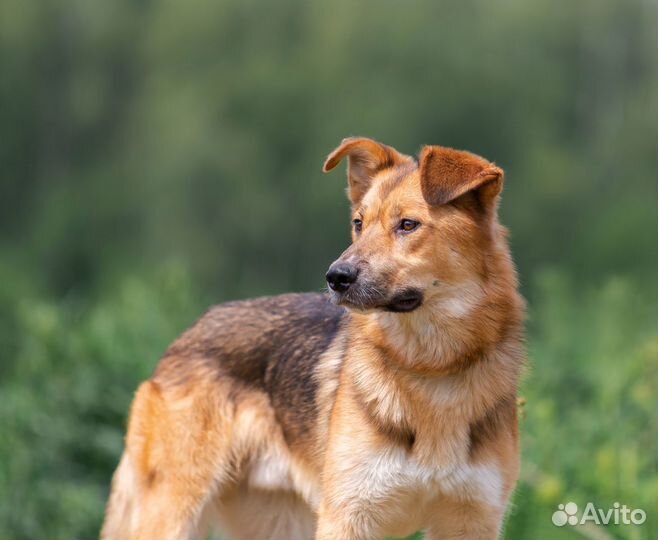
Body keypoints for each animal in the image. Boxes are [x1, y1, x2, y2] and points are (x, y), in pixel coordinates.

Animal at [101, 138, 524, 540]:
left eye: (408, 225)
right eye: (358, 223)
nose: (336, 277)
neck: (431, 367)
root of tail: (185, 336)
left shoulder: (472, 519)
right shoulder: (348, 516)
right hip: (174, 515)